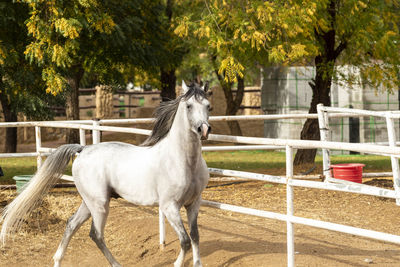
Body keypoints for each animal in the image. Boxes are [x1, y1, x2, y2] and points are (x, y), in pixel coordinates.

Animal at [0, 81, 211, 267]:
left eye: (208, 106)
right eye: (189, 106)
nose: (204, 129)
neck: (182, 160)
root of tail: (83, 149)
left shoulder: (194, 203)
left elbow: (195, 236)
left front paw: (198, 264)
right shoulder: (169, 206)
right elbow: (185, 240)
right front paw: (177, 263)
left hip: (89, 203)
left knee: (71, 224)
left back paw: (57, 261)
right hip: (100, 204)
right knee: (96, 234)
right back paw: (116, 263)